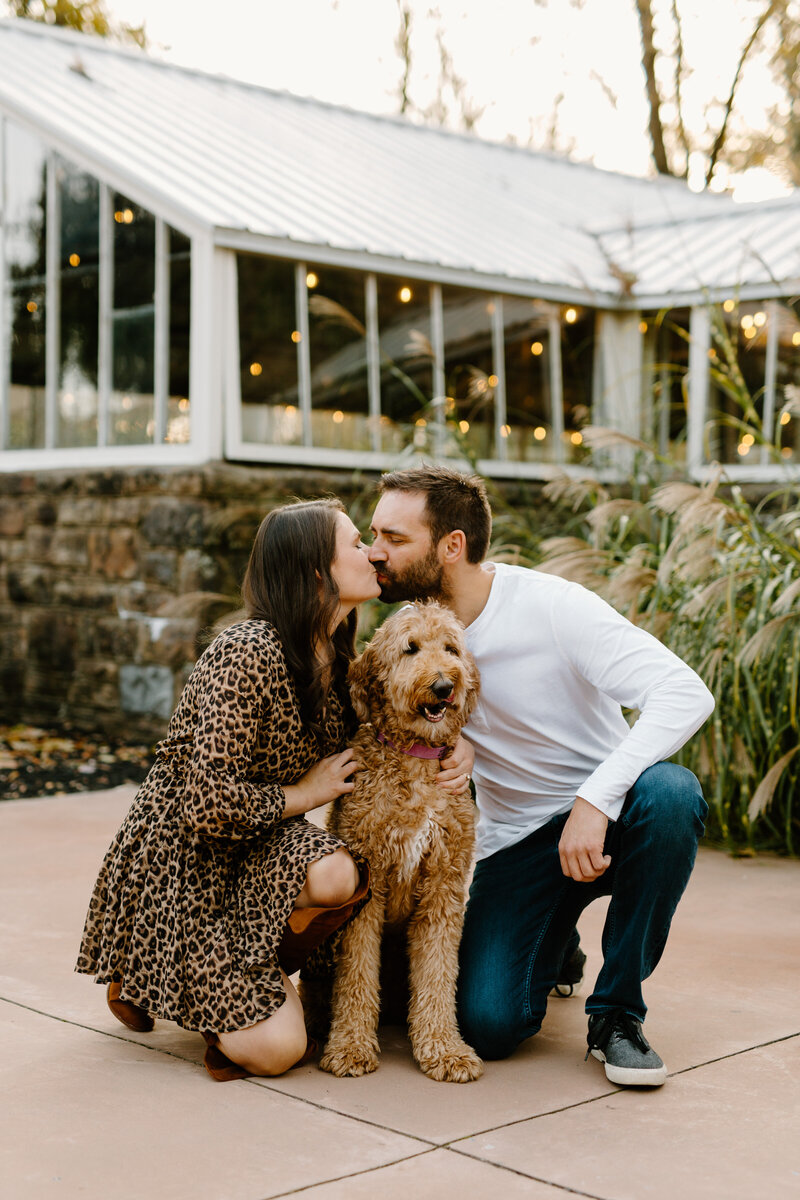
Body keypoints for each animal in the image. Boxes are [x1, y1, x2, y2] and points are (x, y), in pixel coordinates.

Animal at [316, 604, 482, 1084]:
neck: (416, 760)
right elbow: (355, 975)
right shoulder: (366, 887)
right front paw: (349, 1047)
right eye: (410, 648)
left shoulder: (443, 889)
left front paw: (445, 1050)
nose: (445, 685)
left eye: (451, 648)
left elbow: (438, 974)